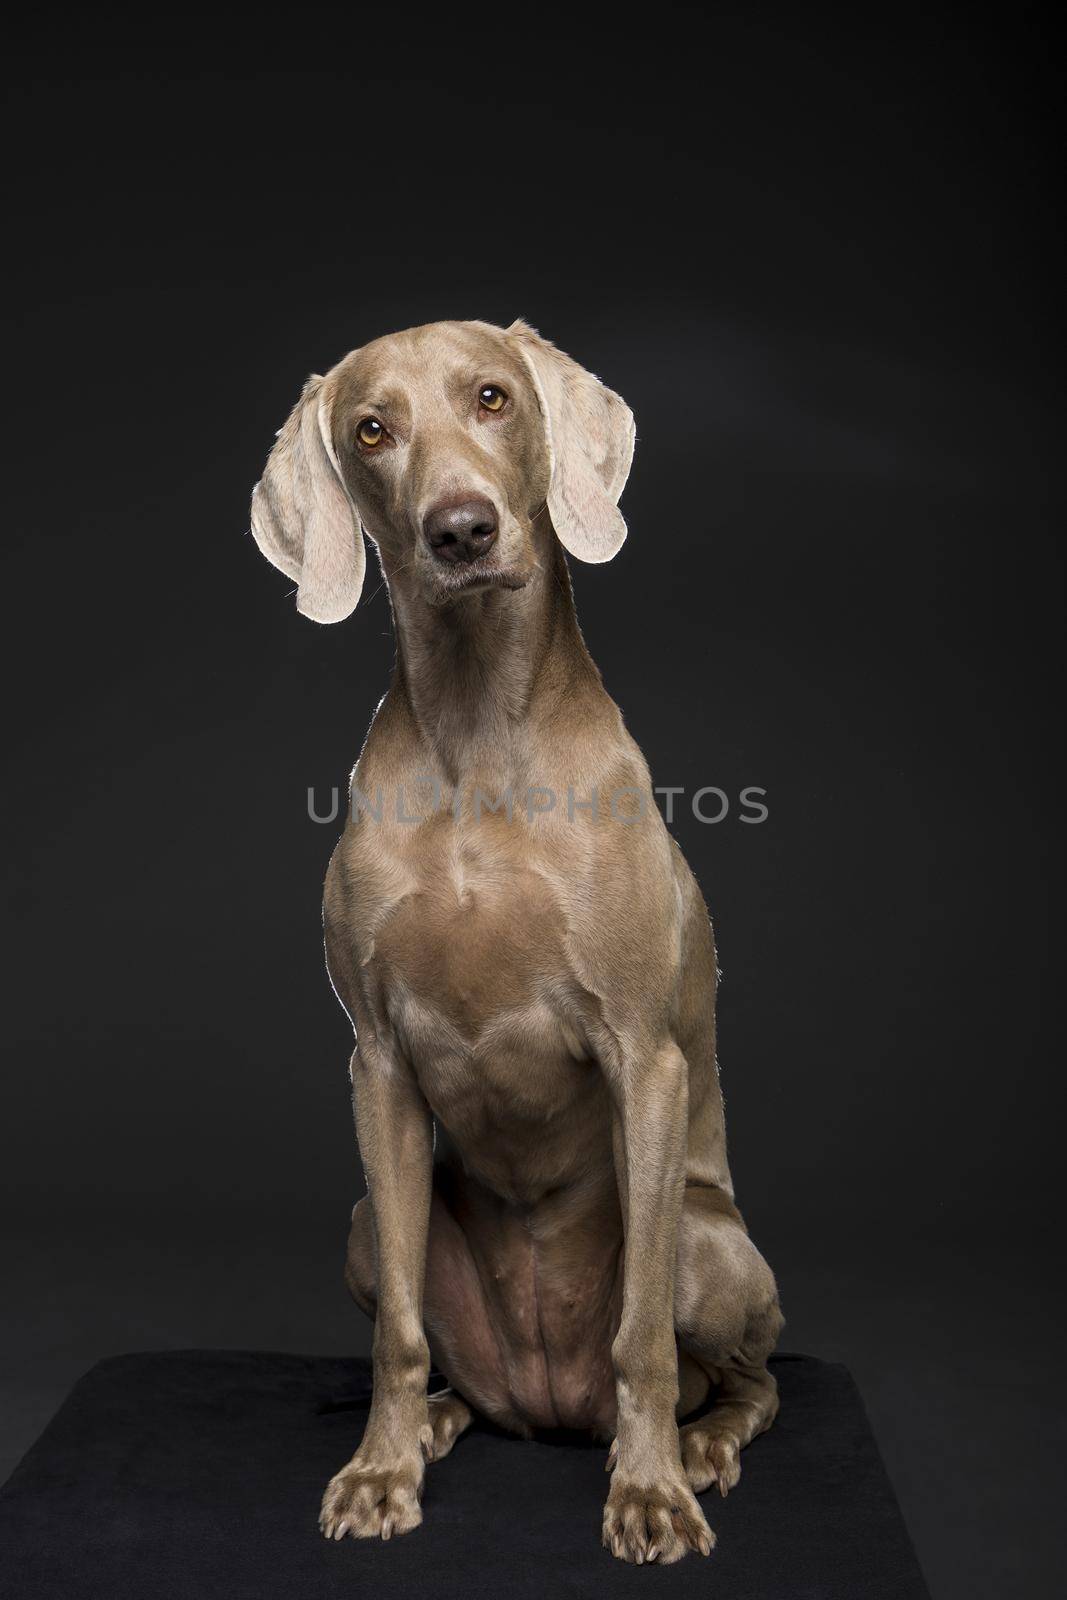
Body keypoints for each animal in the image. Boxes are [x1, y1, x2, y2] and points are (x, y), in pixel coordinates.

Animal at [251, 321, 783, 1561]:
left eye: (491, 398)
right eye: (371, 430)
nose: (459, 528)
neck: (477, 725)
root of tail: (552, 1409)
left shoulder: (645, 1057)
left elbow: (641, 1337)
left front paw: (649, 1494)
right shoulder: (377, 1064)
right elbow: (396, 1331)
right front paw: (379, 1470)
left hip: (706, 1240)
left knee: (738, 1373)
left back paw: (698, 1446)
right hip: (367, 1225)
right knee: (455, 1364)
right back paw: (443, 1424)